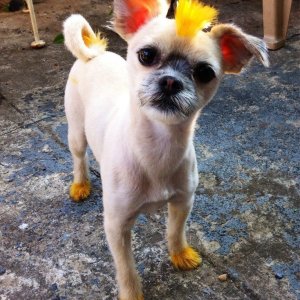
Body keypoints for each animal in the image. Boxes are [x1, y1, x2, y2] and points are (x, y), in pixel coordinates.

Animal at [62, 1, 268, 298]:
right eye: (146, 55)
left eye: (205, 72)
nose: (171, 81)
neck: (157, 147)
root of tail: (95, 54)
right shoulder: (116, 225)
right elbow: (126, 269)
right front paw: (131, 293)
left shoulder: (183, 201)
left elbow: (175, 231)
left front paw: (180, 255)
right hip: (77, 132)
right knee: (78, 157)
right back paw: (80, 184)